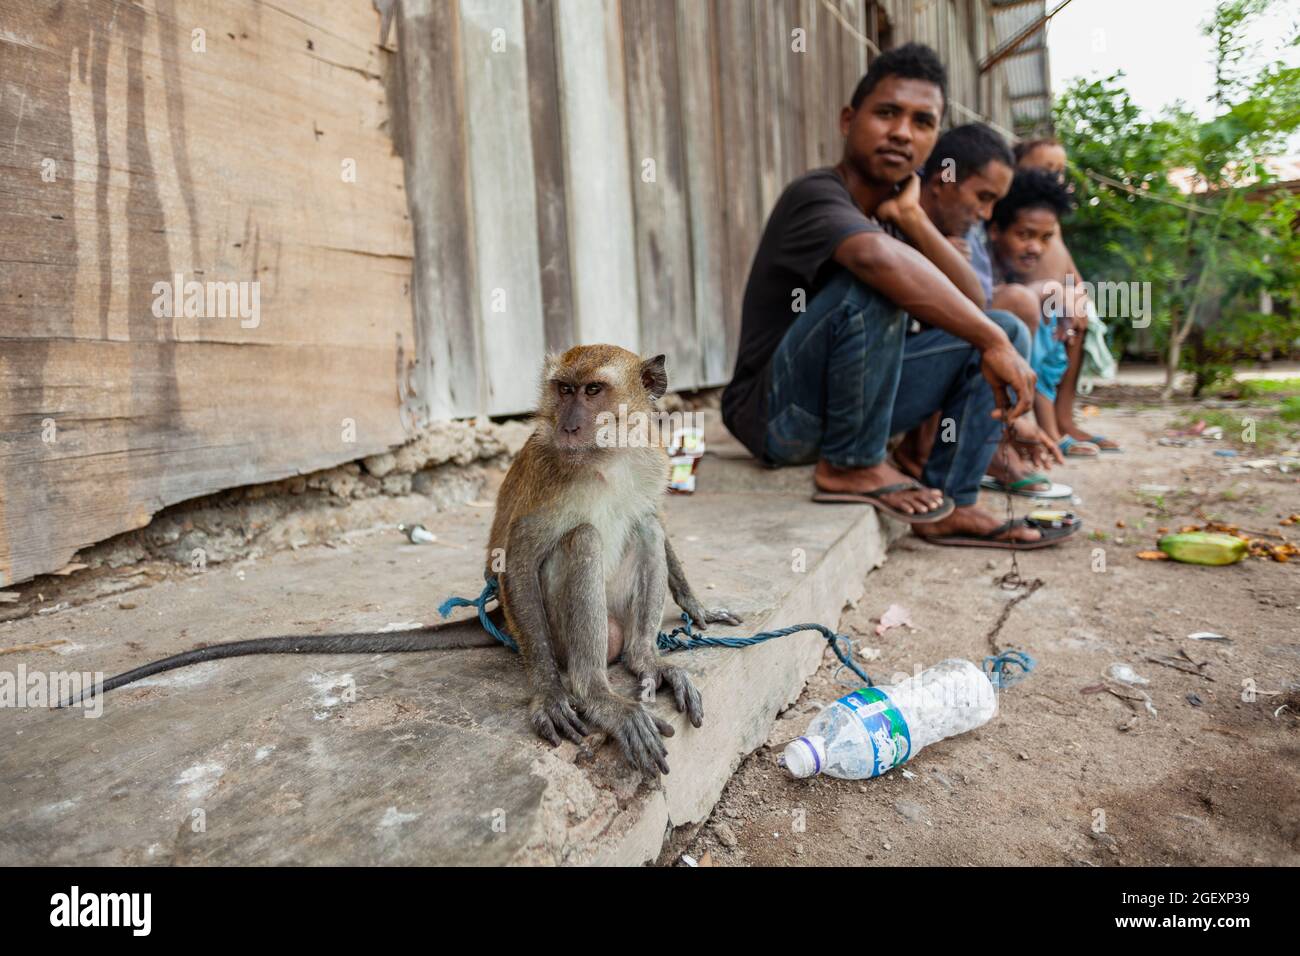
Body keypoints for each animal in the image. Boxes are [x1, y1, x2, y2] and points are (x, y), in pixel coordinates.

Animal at [63, 348, 743, 780]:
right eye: (564, 390)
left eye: (594, 390)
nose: (572, 419)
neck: (605, 456)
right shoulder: (551, 475)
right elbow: (518, 556)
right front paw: (552, 693)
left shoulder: (648, 457)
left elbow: (655, 517)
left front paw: (697, 606)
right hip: (548, 630)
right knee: (580, 543)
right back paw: (596, 691)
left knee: (642, 529)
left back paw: (646, 660)